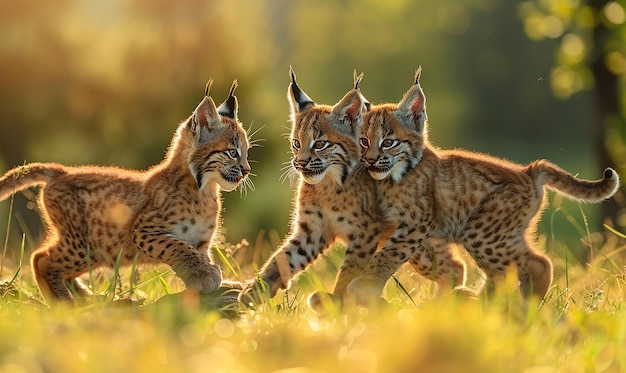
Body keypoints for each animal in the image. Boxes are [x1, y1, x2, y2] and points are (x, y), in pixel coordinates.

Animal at [0, 80, 249, 300]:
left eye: (246, 152)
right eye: (232, 152)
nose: (246, 171)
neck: (205, 189)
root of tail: (62, 171)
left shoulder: (201, 243)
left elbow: (197, 252)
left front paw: (217, 276)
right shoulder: (142, 229)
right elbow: (178, 246)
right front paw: (202, 274)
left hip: (96, 250)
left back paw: (87, 298)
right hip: (85, 245)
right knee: (40, 258)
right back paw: (65, 303)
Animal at [238, 68, 386, 304]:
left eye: (320, 144)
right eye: (296, 143)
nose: (300, 163)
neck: (328, 185)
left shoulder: (367, 230)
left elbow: (350, 269)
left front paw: (340, 302)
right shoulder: (313, 229)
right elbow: (283, 258)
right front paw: (256, 290)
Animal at [348, 67, 616, 300]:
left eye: (388, 143)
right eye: (363, 141)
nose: (369, 160)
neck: (396, 176)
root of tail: (529, 170)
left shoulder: (416, 224)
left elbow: (389, 253)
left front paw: (363, 284)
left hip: (481, 232)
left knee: (538, 264)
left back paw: (526, 309)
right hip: (501, 234)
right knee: (508, 271)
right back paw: (481, 302)